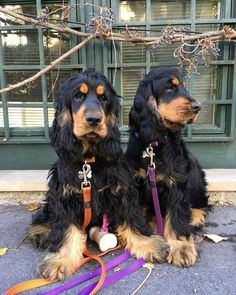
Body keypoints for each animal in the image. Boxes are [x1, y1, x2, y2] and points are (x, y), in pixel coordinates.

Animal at [29, 68, 170, 280]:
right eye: (78, 96)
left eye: (104, 98)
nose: (94, 120)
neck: (89, 160)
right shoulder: (64, 195)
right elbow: (65, 228)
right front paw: (60, 261)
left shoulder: (122, 190)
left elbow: (132, 217)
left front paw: (148, 244)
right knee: (44, 216)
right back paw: (40, 232)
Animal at [126, 66, 209, 268]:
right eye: (170, 87)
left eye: (185, 87)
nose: (197, 107)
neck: (155, 145)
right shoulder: (136, 183)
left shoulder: (176, 183)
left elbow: (177, 216)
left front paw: (181, 248)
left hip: (195, 175)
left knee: (202, 203)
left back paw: (195, 217)